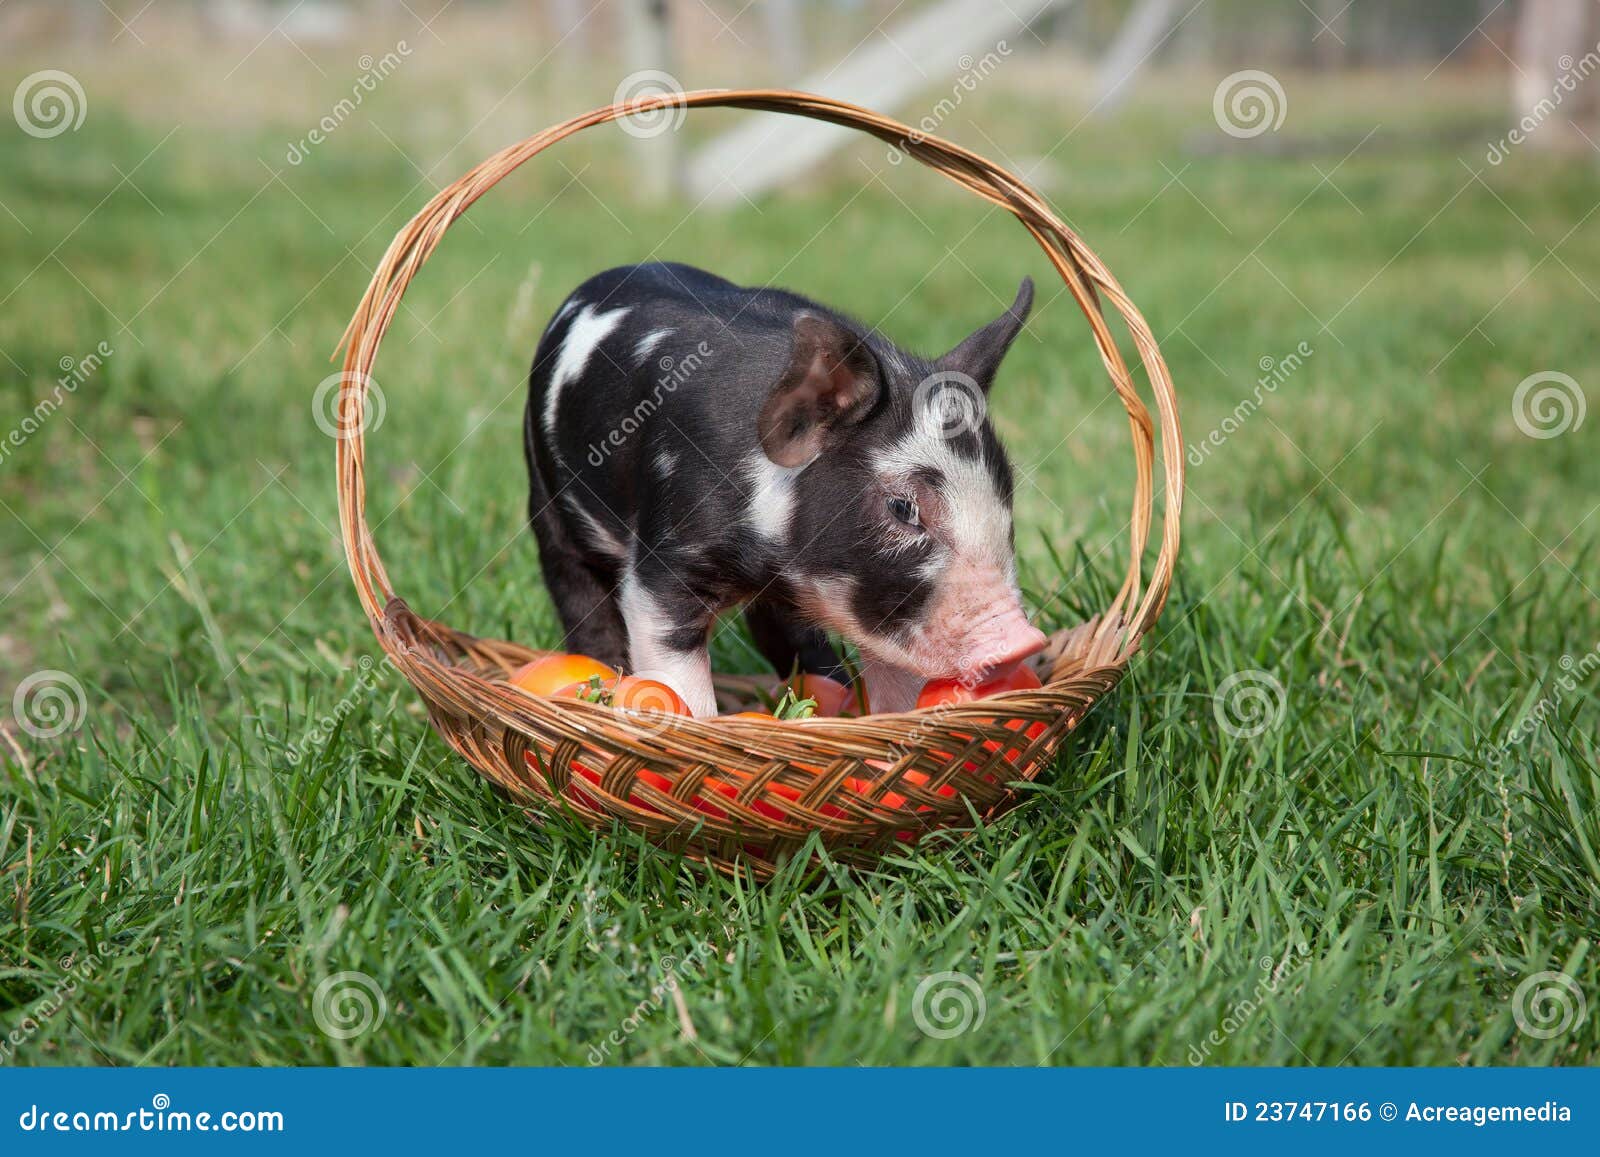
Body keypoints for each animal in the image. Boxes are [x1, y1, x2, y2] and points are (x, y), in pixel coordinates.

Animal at [523, 261, 1045, 718]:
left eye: (1006, 498)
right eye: (902, 507)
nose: (1025, 639)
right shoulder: (663, 559)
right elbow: (676, 675)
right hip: (545, 499)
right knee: (576, 590)